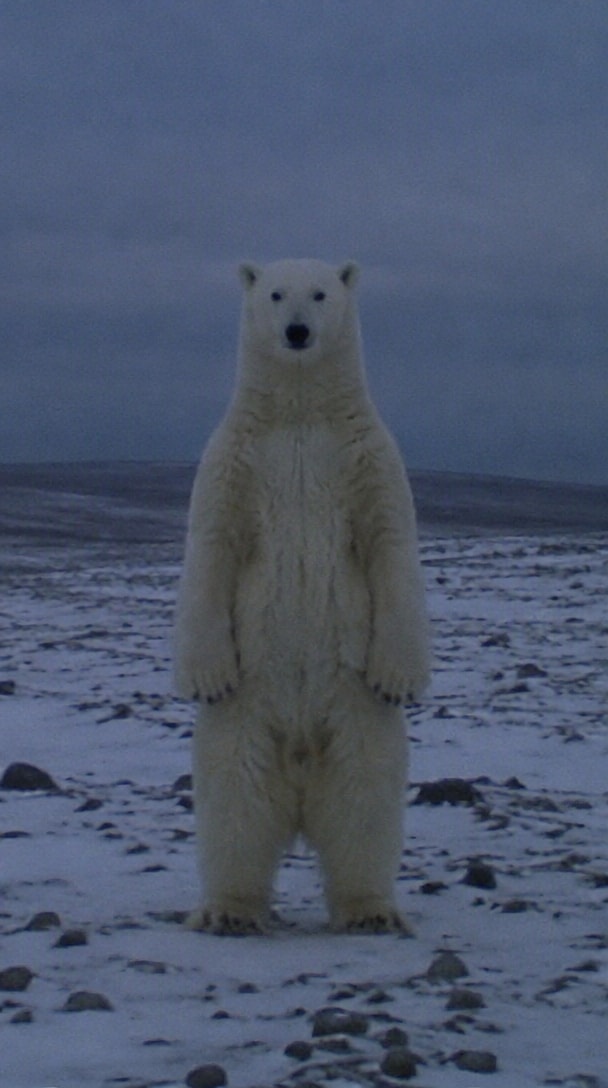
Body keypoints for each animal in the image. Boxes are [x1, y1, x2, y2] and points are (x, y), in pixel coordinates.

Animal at [174, 258, 430, 935]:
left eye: (320, 293)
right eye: (274, 294)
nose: (296, 332)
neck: (298, 419)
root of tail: (299, 763)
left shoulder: (371, 458)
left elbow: (392, 545)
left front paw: (398, 676)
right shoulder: (231, 459)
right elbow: (211, 549)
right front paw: (205, 675)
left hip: (354, 713)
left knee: (364, 800)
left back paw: (370, 909)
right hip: (247, 714)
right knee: (234, 799)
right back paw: (228, 910)